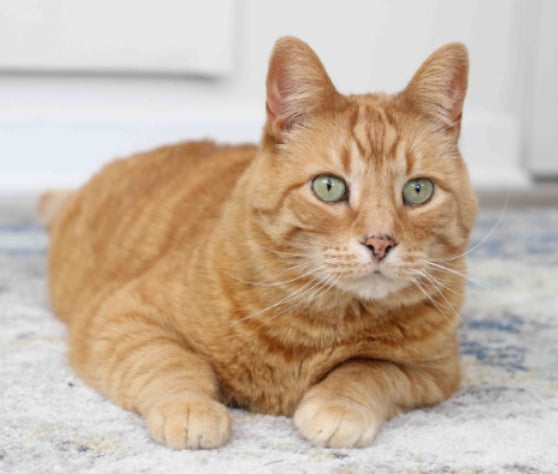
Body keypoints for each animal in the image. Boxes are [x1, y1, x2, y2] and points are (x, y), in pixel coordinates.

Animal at [39, 36, 480, 448]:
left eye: (418, 190)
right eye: (329, 186)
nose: (380, 242)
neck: (320, 324)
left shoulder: (434, 371)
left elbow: (366, 369)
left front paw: (340, 406)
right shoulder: (123, 318)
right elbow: (172, 363)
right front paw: (190, 408)